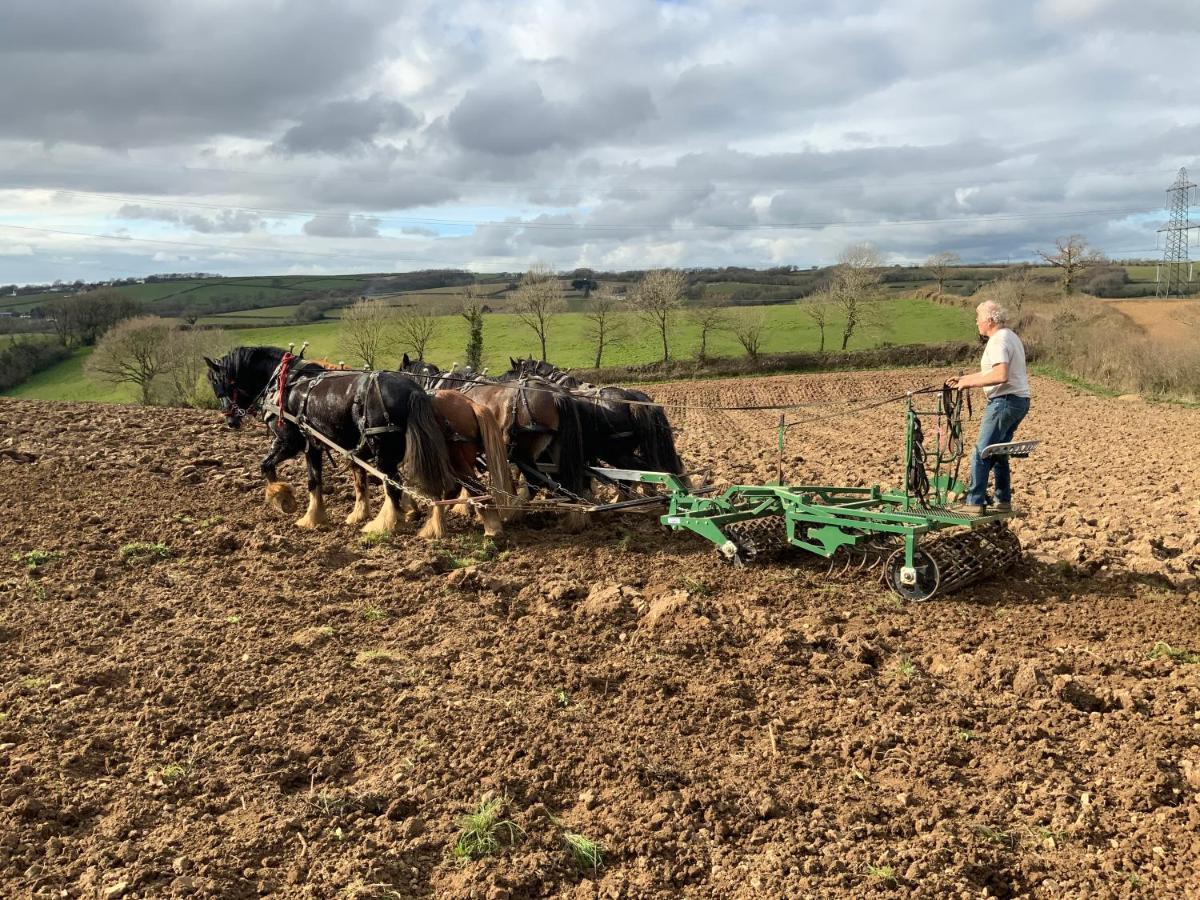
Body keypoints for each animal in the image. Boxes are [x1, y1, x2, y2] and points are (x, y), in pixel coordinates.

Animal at [204, 348, 456, 540]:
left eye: (218, 382)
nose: (230, 421)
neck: (285, 382)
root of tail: (413, 390)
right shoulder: (321, 446)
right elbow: (330, 480)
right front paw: (322, 515)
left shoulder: (291, 442)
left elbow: (270, 467)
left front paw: (285, 501)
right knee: (424, 483)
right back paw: (430, 521)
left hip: (383, 451)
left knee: (393, 484)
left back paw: (383, 524)